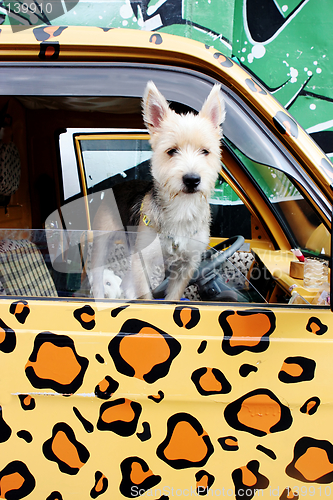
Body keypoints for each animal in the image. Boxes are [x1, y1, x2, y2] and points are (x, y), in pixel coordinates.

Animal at [92, 82, 224, 300]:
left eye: (205, 151)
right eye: (172, 151)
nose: (192, 179)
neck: (181, 208)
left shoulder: (187, 266)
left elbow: (172, 297)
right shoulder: (142, 260)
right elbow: (146, 296)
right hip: (102, 243)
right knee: (97, 276)